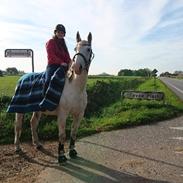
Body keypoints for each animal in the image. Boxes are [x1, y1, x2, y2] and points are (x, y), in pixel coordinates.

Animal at [13, 31, 94, 164]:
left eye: (88, 49)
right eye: (75, 48)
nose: (77, 67)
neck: (75, 88)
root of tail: (22, 77)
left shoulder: (79, 114)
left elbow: (73, 133)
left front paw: (72, 151)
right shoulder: (62, 115)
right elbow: (62, 135)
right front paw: (61, 156)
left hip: (37, 110)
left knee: (33, 123)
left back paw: (37, 144)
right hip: (19, 110)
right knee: (18, 126)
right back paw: (17, 147)